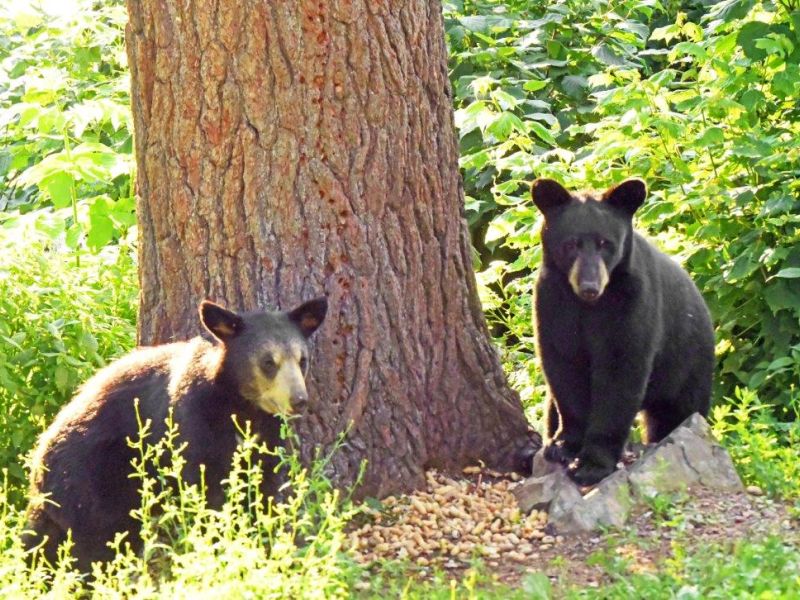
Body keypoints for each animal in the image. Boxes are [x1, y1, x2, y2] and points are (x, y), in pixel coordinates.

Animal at [24, 297, 327, 571]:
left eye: (302, 360)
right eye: (268, 362)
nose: (299, 400)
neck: (241, 406)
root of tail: (38, 463)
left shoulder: (266, 438)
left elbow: (262, 490)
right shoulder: (194, 422)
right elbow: (205, 492)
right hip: (91, 483)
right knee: (95, 544)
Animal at [531, 177, 714, 486]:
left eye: (606, 243)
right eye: (571, 244)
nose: (589, 286)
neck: (589, 307)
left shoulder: (630, 305)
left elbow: (620, 374)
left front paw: (591, 464)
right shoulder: (553, 303)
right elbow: (564, 369)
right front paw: (564, 446)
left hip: (686, 367)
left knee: (679, 413)